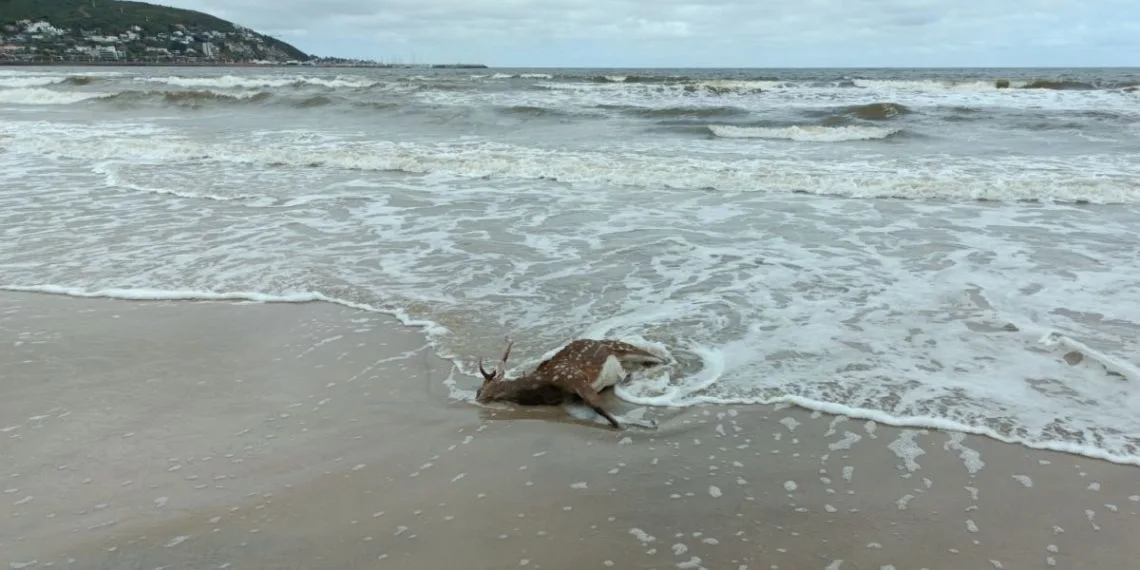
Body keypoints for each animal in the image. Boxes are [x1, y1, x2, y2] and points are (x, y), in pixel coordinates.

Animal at [474, 337, 667, 429]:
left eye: (479, 390)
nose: (477, 399)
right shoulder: (573, 397)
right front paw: (648, 422)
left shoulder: (573, 377)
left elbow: (600, 408)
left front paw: (630, 426)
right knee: (631, 371)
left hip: (623, 348)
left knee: (659, 359)